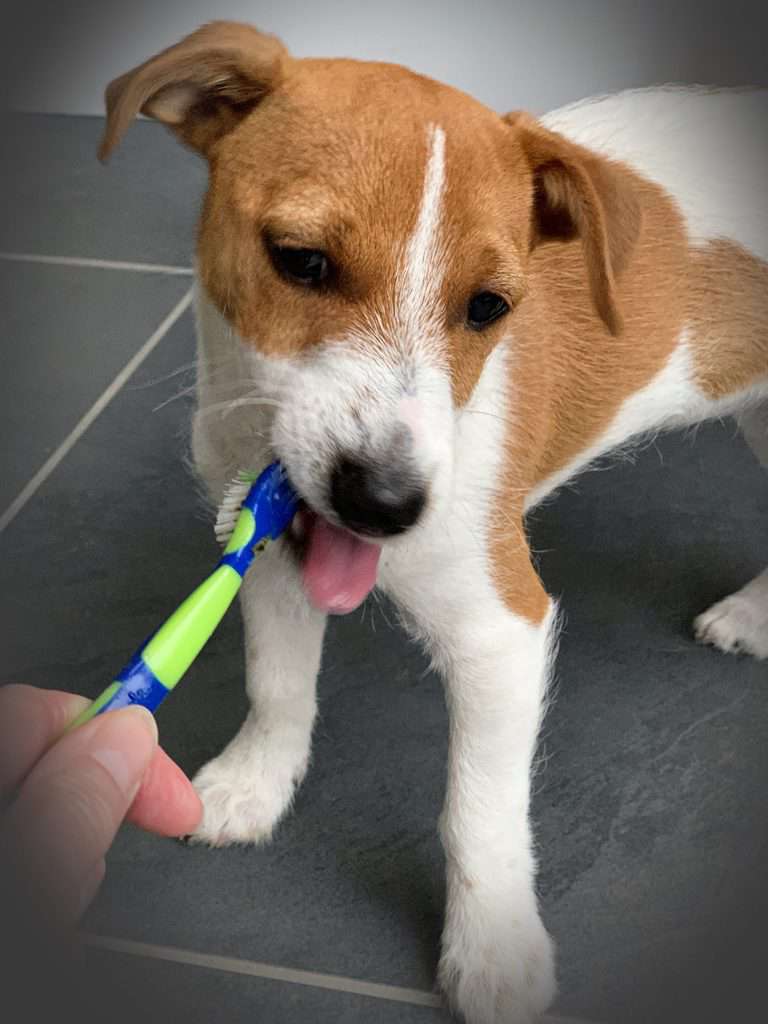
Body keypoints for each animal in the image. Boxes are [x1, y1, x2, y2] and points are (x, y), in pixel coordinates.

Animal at [102, 22, 768, 1024]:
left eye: (489, 307)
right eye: (301, 260)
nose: (386, 505)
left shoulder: (503, 632)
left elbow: (478, 813)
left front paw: (493, 949)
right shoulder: (268, 560)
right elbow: (278, 686)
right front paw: (256, 785)